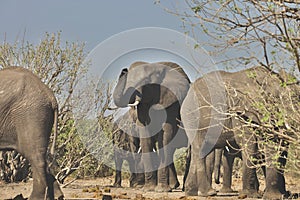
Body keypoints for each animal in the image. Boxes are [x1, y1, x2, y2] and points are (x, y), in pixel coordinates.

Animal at [112, 61, 190, 192]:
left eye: (146, 81)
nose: (124, 70)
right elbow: (145, 135)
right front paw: (148, 189)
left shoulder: (171, 101)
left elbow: (166, 134)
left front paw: (161, 190)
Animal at [179, 66, 298, 199]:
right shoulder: (242, 111)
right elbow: (251, 143)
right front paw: (251, 195)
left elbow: (280, 146)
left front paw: (280, 196)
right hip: (193, 118)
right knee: (200, 149)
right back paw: (208, 193)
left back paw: (191, 192)